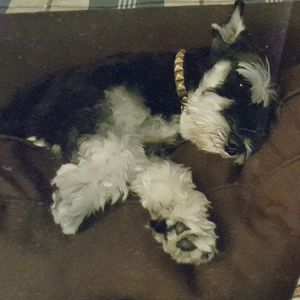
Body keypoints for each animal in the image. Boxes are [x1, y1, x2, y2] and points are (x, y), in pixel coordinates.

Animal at [1, 0, 280, 264]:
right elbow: (119, 153)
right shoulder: (82, 114)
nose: (238, 146)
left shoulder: (146, 147)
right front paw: (76, 198)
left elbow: (159, 171)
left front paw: (183, 227)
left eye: (268, 118)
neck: (170, 87)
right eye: (242, 82)